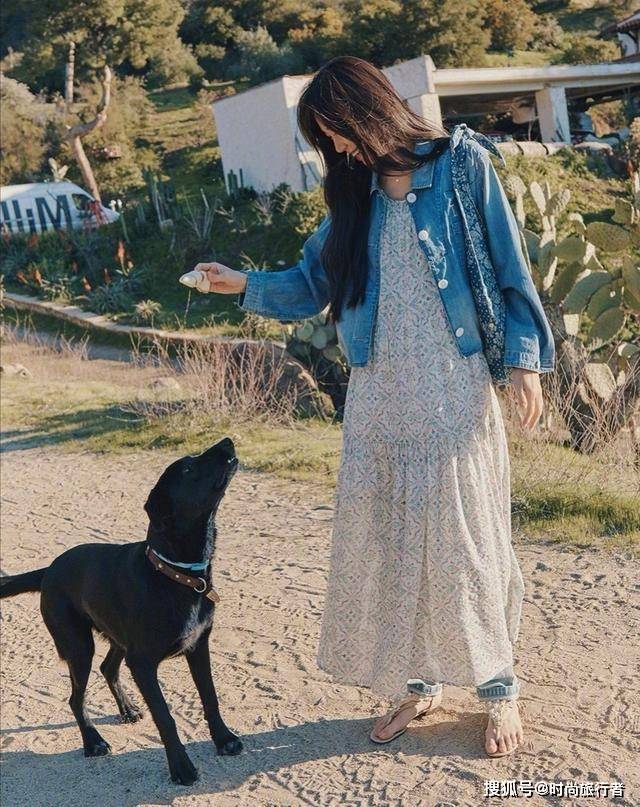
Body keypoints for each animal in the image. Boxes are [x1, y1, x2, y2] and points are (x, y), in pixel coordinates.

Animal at [0, 438, 242, 784]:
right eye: (188, 468)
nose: (227, 441)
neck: (173, 574)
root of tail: (49, 570)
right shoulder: (142, 663)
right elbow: (165, 717)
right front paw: (181, 768)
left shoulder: (198, 646)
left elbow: (210, 697)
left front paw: (224, 739)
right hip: (79, 646)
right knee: (76, 697)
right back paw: (93, 742)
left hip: (116, 637)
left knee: (107, 668)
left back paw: (126, 709)